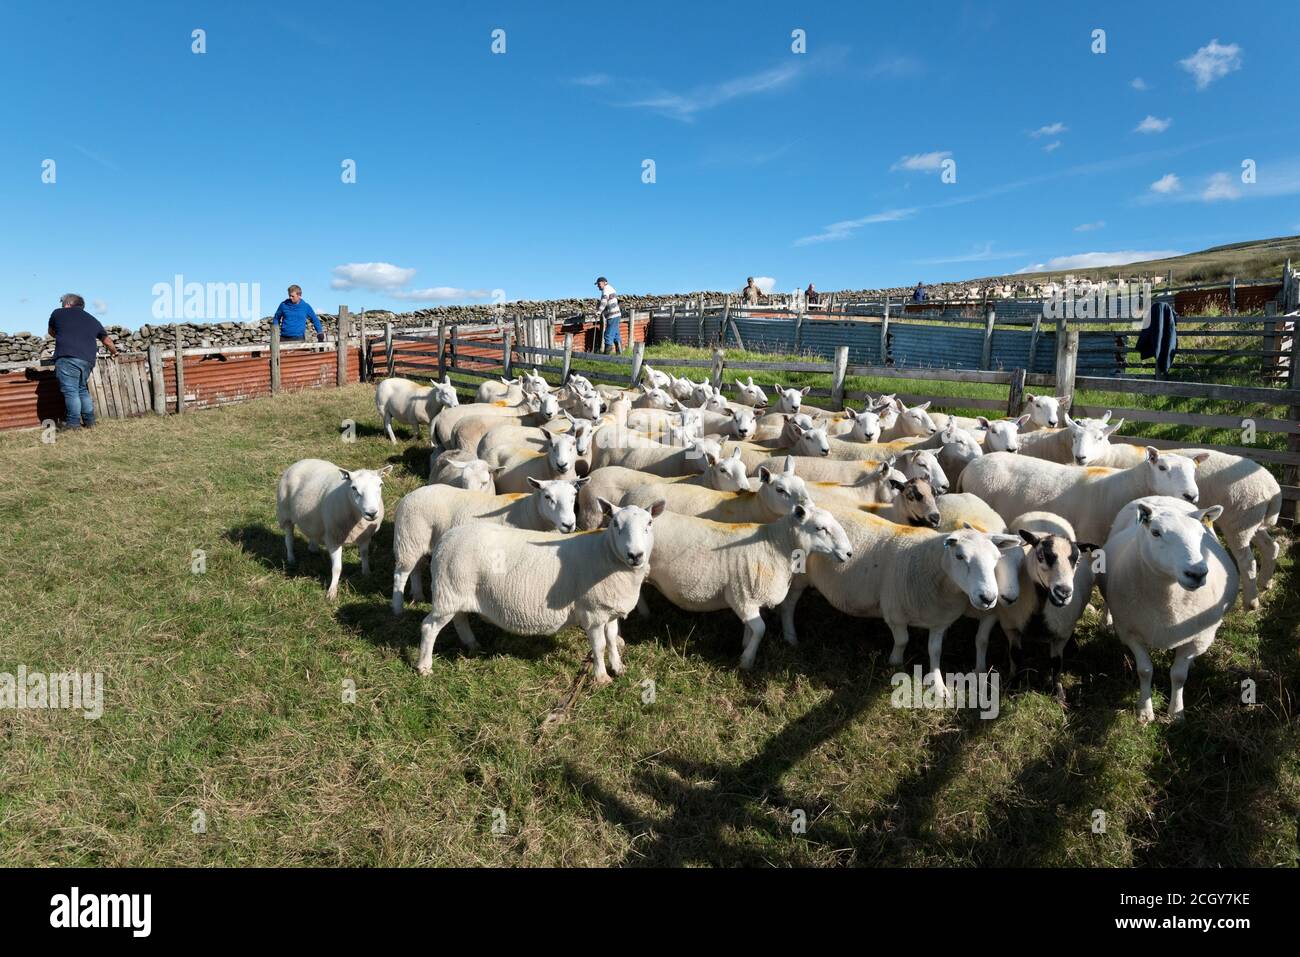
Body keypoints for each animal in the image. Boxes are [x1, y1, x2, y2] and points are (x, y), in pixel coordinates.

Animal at [276, 457, 392, 598]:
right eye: (354, 488)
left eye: (380, 485)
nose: (372, 513)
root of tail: (301, 461)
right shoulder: (333, 538)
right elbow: (337, 568)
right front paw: (332, 591)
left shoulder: (365, 536)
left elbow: (365, 555)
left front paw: (367, 573)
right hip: (284, 513)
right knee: (289, 539)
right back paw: (291, 558)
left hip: (313, 518)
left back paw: (313, 548)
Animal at [387, 475, 587, 613]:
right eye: (547, 497)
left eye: (574, 495)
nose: (569, 524)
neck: (530, 512)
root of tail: (409, 496)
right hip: (408, 537)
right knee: (400, 574)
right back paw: (398, 608)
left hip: (416, 540)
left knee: (415, 567)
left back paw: (418, 595)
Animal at [413, 496, 665, 686]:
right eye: (615, 524)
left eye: (649, 524)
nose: (635, 555)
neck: (607, 555)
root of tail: (445, 540)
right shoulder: (592, 612)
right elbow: (599, 645)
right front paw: (601, 677)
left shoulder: (609, 610)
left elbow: (612, 640)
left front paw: (618, 667)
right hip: (448, 590)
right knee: (429, 627)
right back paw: (424, 667)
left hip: (457, 590)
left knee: (460, 618)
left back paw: (471, 644)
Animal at [1097, 501, 1237, 717]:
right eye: (1156, 532)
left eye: (1201, 534)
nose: (1197, 573)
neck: (1167, 603)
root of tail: (1162, 498)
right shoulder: (1130, 633)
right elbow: (1145, 670)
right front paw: (1145, 711)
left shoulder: (1199, 637)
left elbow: (1178, 675)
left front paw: (1176, 712)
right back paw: (1106, 623)